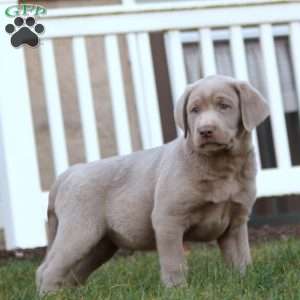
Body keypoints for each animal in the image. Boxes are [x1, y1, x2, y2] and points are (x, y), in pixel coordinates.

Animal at [36, 74, 268, 292]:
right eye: (194, 110)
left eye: (224, 106)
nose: (205, 131)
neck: (221, 166)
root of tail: (67, 173)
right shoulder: (168, 218)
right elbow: (175, 261)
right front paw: (177, 290)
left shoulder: (236, 223)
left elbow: (240, 258)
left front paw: (244, 283)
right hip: (80, 229)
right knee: (49, 268)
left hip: (101, 244)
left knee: (72, 271)